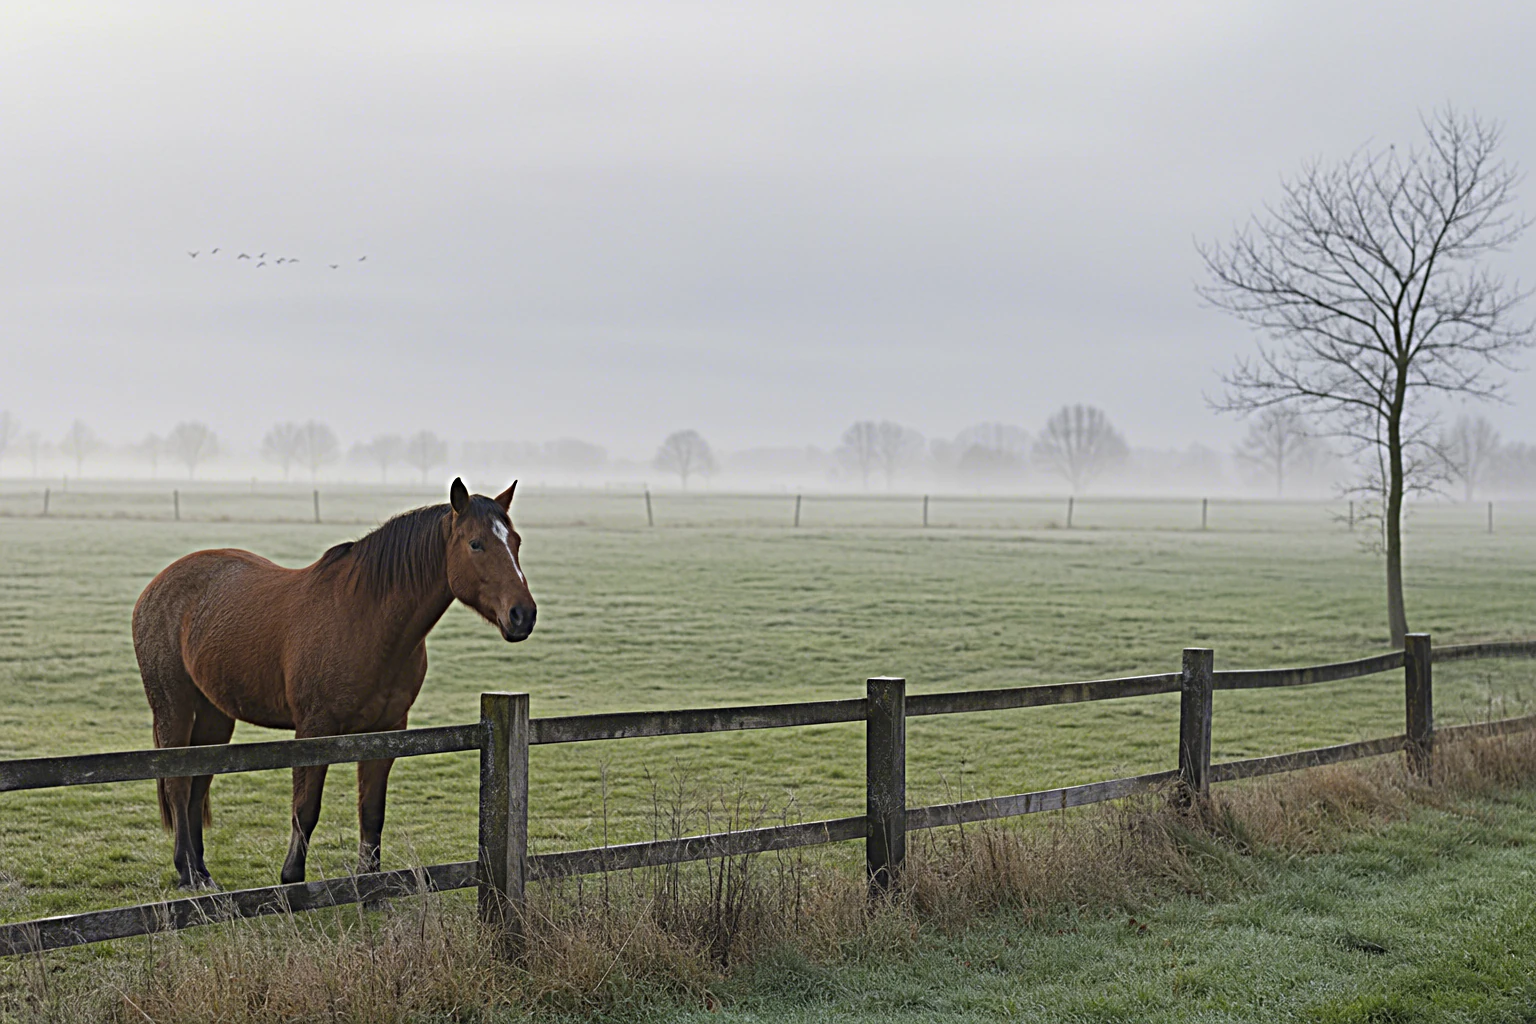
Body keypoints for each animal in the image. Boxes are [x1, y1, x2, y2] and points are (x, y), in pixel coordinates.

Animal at [132, 478, 535, 890]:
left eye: (516, 541)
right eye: (476, 544)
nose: (523, 614)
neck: (366, 619)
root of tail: (156, 587)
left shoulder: (385, 731)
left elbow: (371, 813)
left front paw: (369, 883)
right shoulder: (314, 729)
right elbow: (305, 808)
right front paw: (292, 878)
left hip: (215, 714)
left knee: (198, 784)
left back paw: (201, 872)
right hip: (174, 707)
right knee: (178, 785)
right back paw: (186, 872)